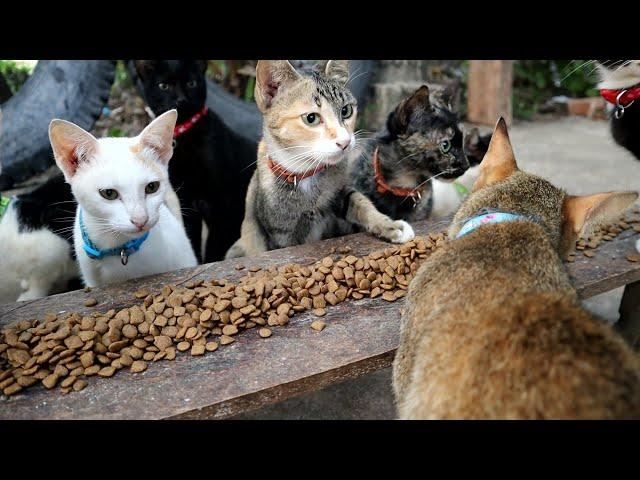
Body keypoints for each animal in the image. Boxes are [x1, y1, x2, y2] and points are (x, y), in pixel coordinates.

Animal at [132, 60, 258, 264]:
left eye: (191, 83)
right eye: (163, 86)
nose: (181, 99)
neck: (186, 136)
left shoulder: (220, 202)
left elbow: (214, 246)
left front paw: (210, 264)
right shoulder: (187, 202)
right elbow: (192, 239)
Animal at [225, 61, 416, 260]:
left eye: (346, 110)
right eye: (311, 118)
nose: (345, 142)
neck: (307, 174)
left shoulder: (339, 192)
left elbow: (359, 201)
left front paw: (390, 225)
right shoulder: (280, 233)